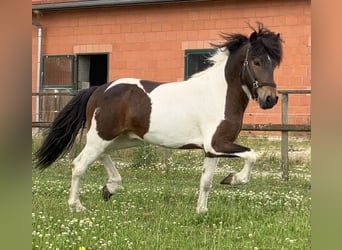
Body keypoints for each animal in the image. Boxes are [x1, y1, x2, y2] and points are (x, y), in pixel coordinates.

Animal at [34, 22, 282, 212]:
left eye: (274, 63)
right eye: (256, 61)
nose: (270, 99)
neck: (218, 93)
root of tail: (98, 90)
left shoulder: (212, 149)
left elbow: (206, 182)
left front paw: (202, 212)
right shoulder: (218, 144)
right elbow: (252, 155)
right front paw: (232, 179)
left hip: (120, 139)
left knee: (101, 156)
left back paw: (109, 188)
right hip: (102, 136)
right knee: (79, 164)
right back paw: (77, 205)